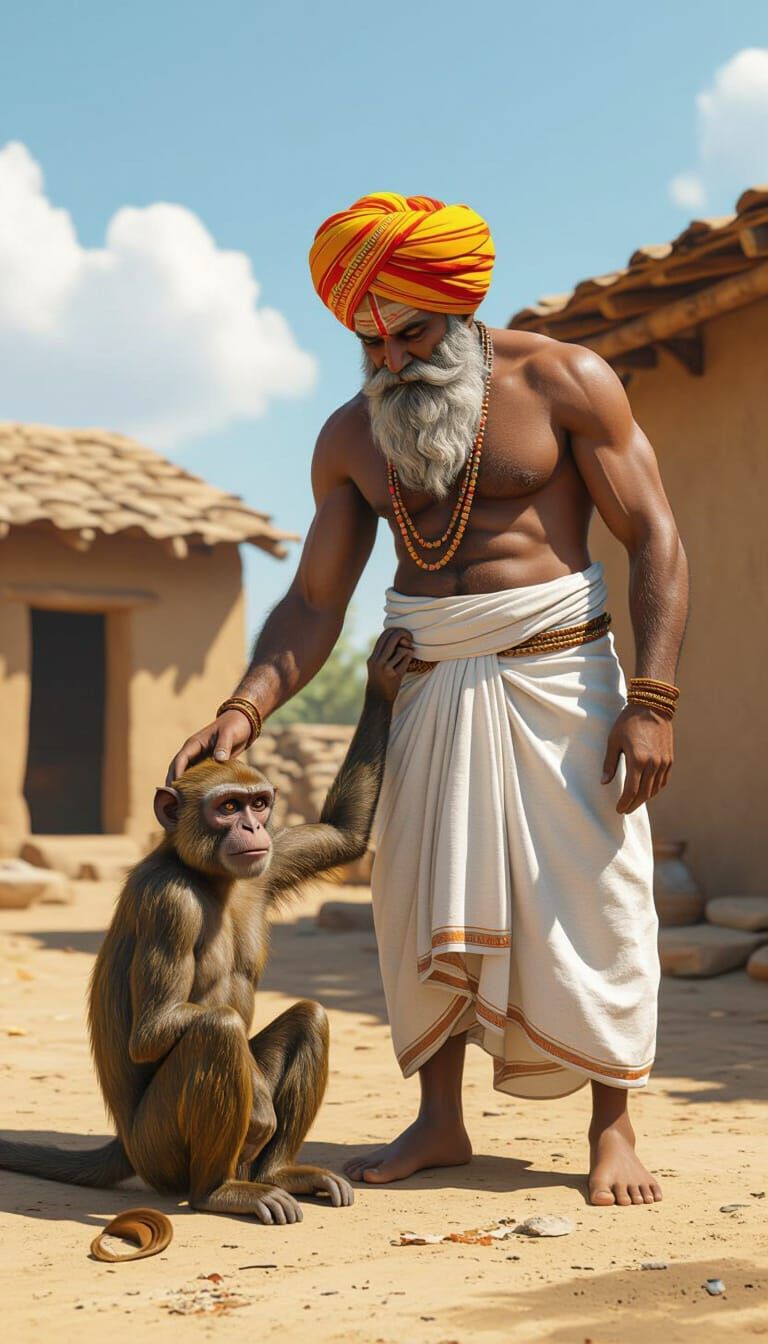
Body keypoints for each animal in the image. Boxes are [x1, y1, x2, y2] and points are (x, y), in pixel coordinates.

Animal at [0, 629, 413, 1224]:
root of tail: (124, 1144)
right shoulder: (168, 903)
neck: (207, 878)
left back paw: (278, 1173)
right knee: (214, 1032)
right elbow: (156, 1029)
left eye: (259, 805)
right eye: (228, 807)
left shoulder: (271, 862)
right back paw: (218, 1191)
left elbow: (344, 833)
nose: (251, 828)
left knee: (309, 1017)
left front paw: (382, 679)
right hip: (159, 1150)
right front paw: (257, 1104)